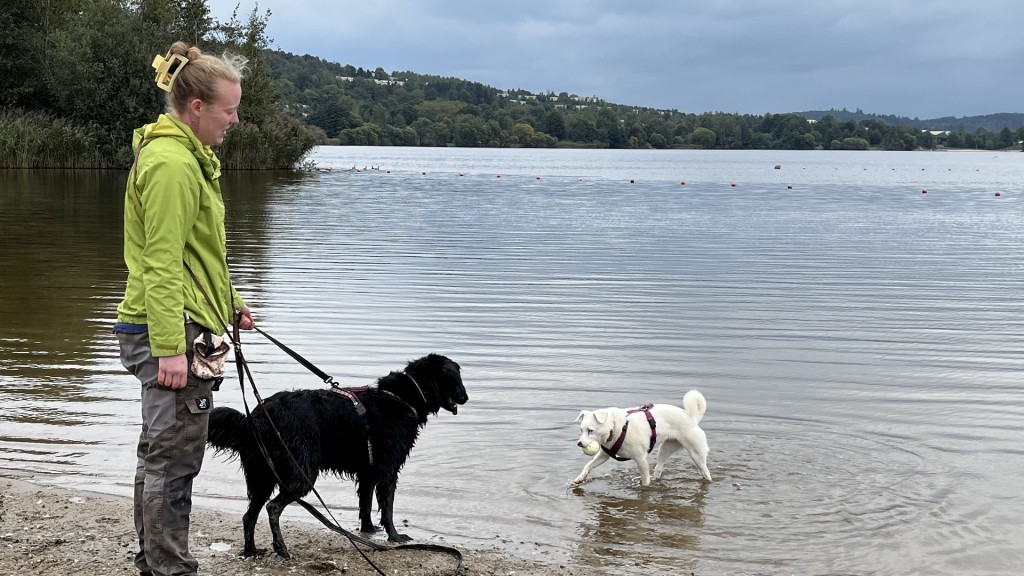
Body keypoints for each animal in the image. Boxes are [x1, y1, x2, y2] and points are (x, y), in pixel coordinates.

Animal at [206, 350, 468, 557]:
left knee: (249, 516)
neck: (403, 397)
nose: (466, 398)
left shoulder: (368, 471)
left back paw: (251, 551)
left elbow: (365, 503)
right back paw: (281, 548)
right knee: (273, 508)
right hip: (300, 473)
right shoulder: (387, 469)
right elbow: (388, 507)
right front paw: (395, 536)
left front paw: (368, 530)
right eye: (455, 379)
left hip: (263, 474)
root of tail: (257, 416)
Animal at [577, 389, 712, 483]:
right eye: (581, 430)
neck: (616, 428)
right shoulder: (604, 455)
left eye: (591, 430)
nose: (579, 443)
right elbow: (588, 465)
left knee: (705, 471)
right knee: (659, 467)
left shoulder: (641, 459)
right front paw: (580, 477)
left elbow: (645, 480)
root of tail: (691, 418)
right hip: (666, 448)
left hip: (696, 454)